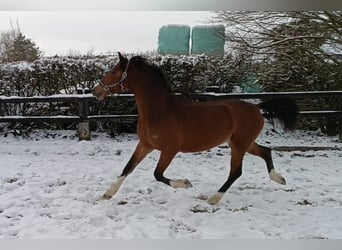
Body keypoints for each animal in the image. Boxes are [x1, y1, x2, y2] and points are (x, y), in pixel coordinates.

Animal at [92, 52, 298, 205]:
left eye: (113, 71)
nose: (96, 91)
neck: (160, 111)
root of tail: (257, 108)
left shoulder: (170, 150)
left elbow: (157, 174)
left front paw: (186, 183)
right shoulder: (145, 145)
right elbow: (127, 168)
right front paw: (107, 194)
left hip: (239, 145)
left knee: (236, 172)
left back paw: (213, 199)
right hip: (243, 143)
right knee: (266, 151)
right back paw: (279, 179)